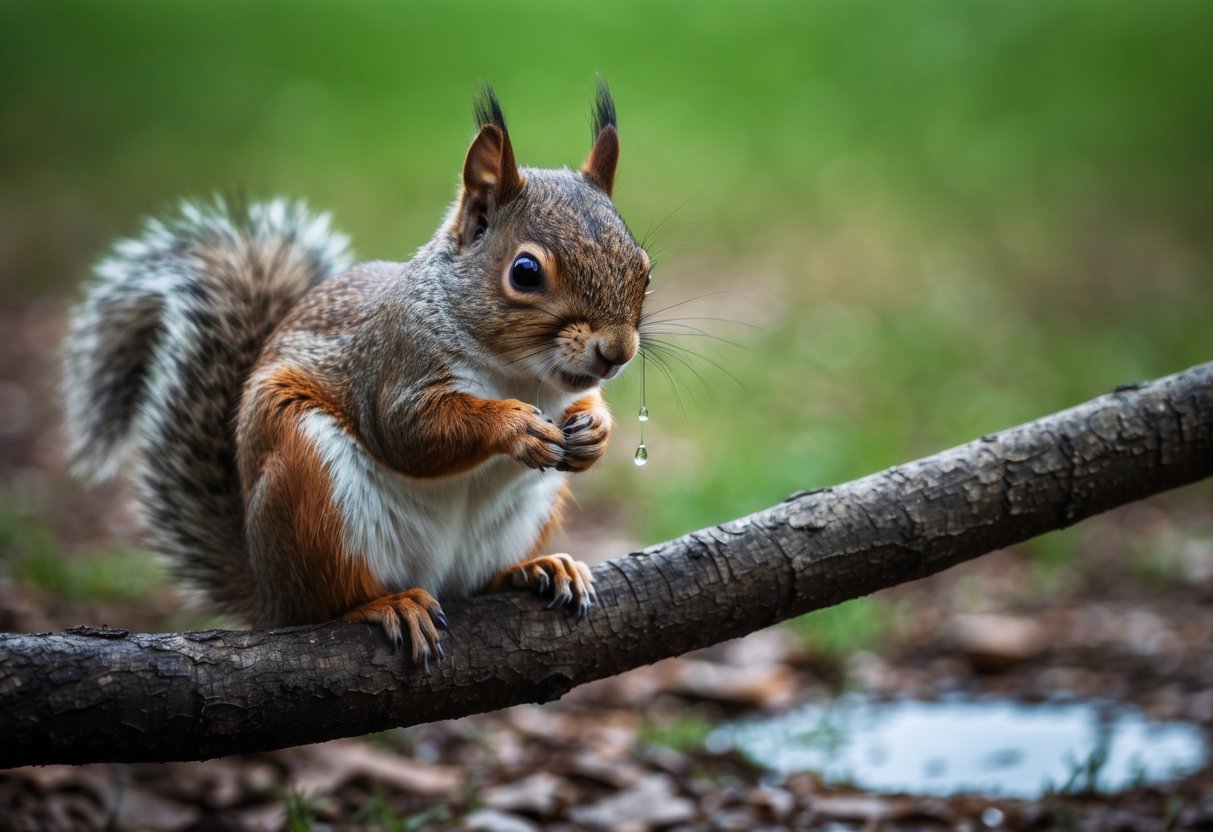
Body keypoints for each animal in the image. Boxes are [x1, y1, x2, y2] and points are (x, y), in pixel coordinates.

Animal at [62, 82, 650, 669]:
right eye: (525, 272)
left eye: (644, 269)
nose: (617, 352)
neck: (522, 377)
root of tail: (266, 594)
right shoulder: (394, 366)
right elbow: (410, 434)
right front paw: (513, 426)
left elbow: (583, 405)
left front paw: (596, 431)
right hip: (306, 485)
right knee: (326, 603)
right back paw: (387, 605)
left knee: (480, 582)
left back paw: (537, 568)